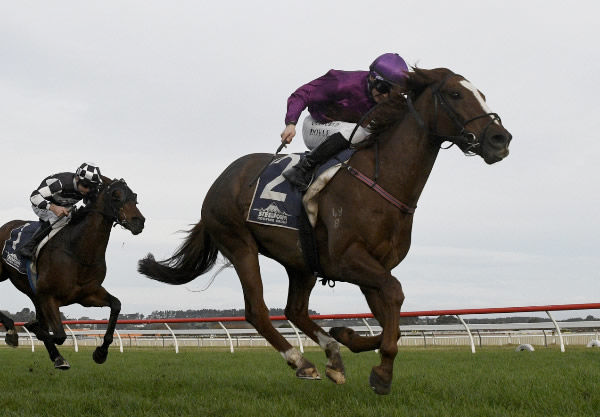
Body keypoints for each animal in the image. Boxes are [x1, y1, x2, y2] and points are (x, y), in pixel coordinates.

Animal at [0, 177, 145, 366]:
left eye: (134, 196)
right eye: (116, 195)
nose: (139, 221)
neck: (78, 252)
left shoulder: (87, 295)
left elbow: (116, 305)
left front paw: (101, 352)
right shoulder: (48, 297)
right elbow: (58, 335)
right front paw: (31, 327)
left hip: (34, 295)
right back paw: (11, 331)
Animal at [137, 66, 510, 392]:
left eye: (481, 93)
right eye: (456, 94)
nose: (500, 138)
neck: (382, 180)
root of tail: (221, 180)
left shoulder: (374, 267)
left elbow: (391, 317)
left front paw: (348, 337)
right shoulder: (348, 260)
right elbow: (395, 295)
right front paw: (382, 372)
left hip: (300, 261)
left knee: (295, 310)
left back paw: (332, 354)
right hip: (239, 243)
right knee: (257, 310)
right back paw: (301, 362)